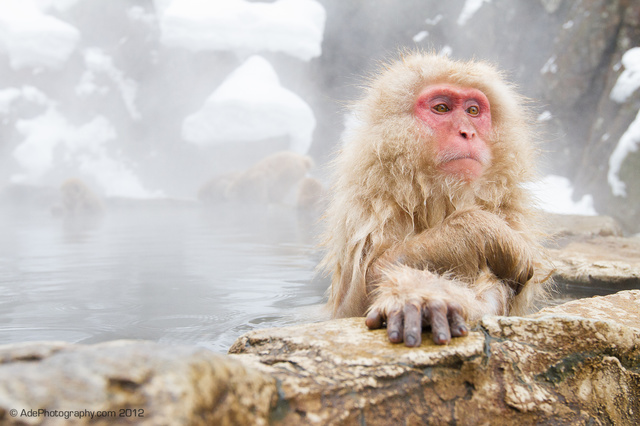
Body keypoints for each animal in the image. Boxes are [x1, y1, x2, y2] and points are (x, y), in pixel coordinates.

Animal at [322, 52, 552, 346]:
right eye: (442, 108)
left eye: (473, 111)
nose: (467, 132)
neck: (442, 196)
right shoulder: (369, 206)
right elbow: (353, 302)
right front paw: (421, 297)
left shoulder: (510, 209)